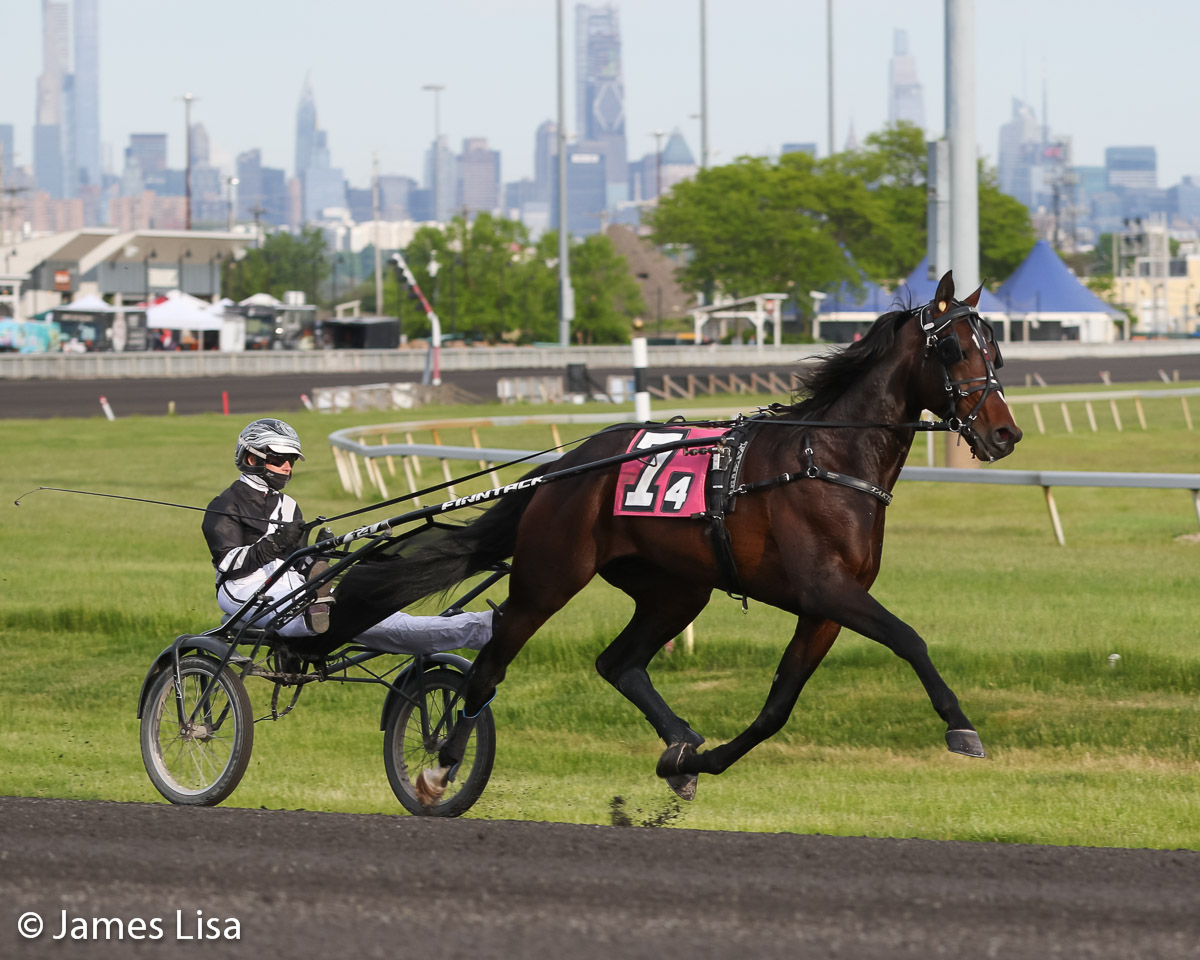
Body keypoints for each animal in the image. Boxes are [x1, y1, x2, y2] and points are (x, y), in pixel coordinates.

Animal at [328, 270, 1022, 801]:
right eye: (954, 351)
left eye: (997, 354)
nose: (1005, 434)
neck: (826, 456)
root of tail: (563, 470)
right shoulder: (827, 588)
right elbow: (909, 638)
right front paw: (961, 727)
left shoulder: (823, 607)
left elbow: (777, 706)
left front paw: (698, 761)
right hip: (549, 576)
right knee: (491, 662)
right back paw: (440, 766)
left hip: (676, 589)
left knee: (618, 662)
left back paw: (679, 744)